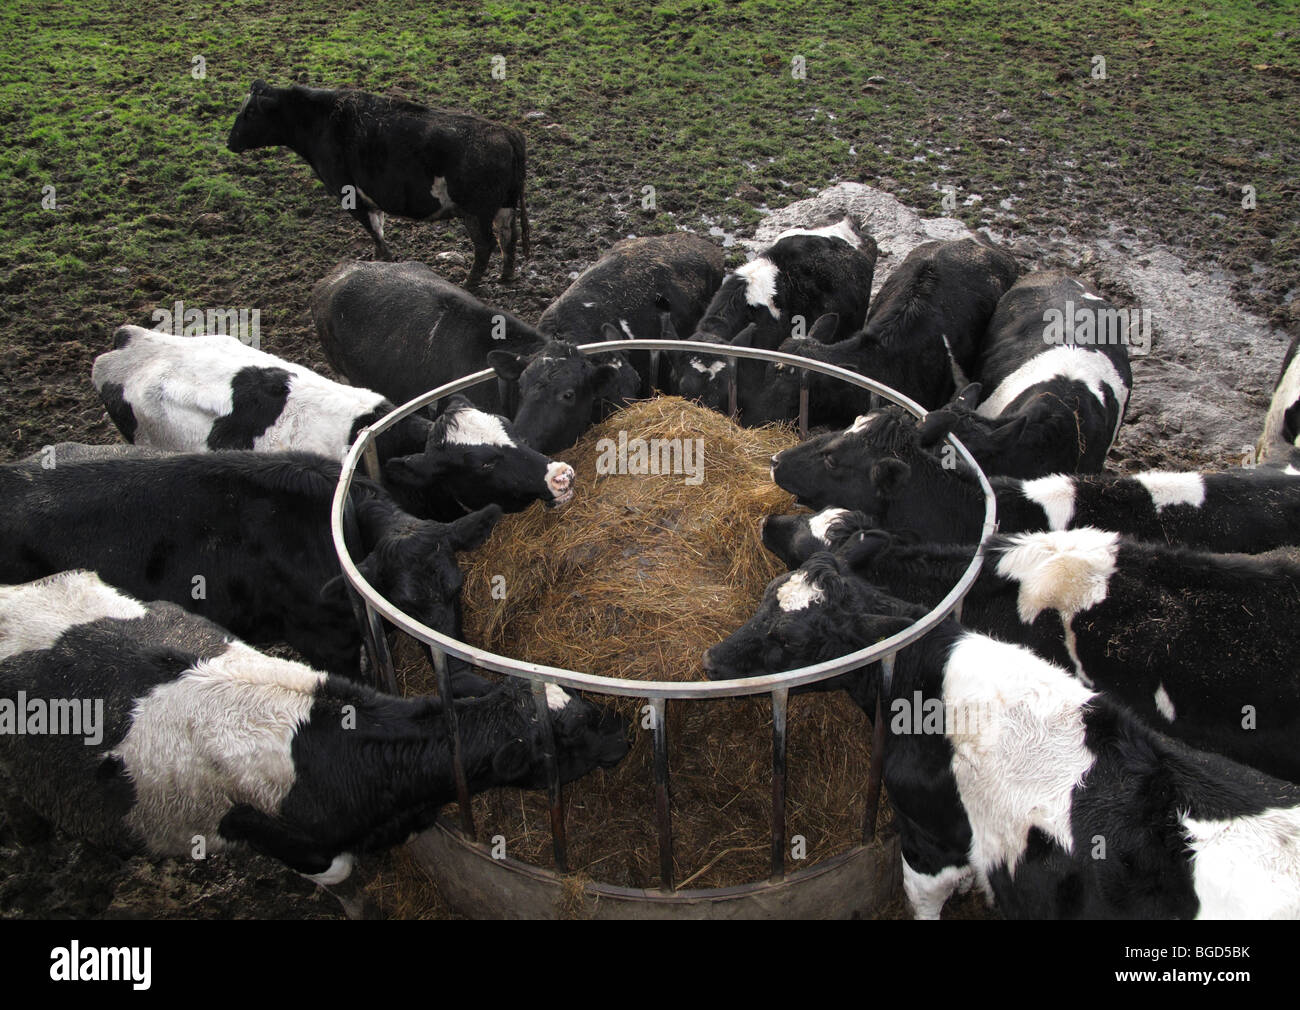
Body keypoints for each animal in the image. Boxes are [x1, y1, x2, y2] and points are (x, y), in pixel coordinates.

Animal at [227, 81, 528, 285]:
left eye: (249, 112)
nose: (230, 143)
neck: (321, 120)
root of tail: (506, 132)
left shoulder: (350, 195)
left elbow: (376, 233)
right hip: (504, 205)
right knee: (508, 236)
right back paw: (505, 276)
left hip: (475, 212)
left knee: (486, 244)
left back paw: (470, 283)